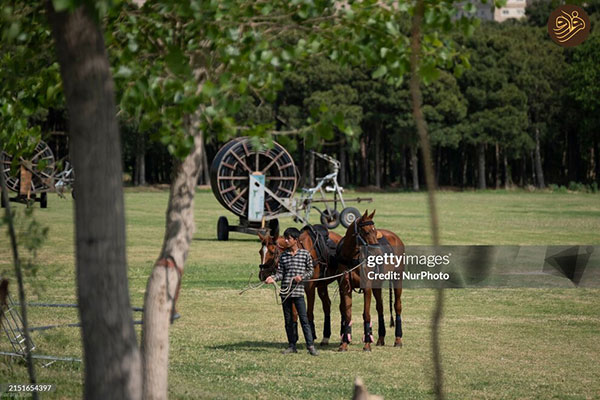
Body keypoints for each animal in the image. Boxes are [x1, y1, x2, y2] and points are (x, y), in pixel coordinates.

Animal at [336, 211, 406, 352]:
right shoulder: (345, 288)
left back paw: (398, 339)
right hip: (377, 284)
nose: (379, 253)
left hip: (397, 278)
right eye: (367, 232)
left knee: (397, 306)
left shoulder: (367, 287)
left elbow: (366, 314)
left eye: (375, 231)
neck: (352, 257)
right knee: (380, 307)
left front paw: (367, 344)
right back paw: (381, 338)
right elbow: (347, 315)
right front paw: (344, 344)